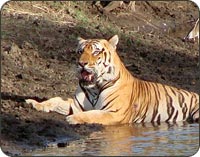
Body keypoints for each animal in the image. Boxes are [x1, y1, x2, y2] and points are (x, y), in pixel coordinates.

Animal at [25, 34, 199, 125]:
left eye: (95, 52)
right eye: (80, 51)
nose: (81, 63)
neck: (94, 87)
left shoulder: (115, 113)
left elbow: (93, 114)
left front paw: (73, 118)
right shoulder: (74, 104)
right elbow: (54, 100)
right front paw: (35, 103)